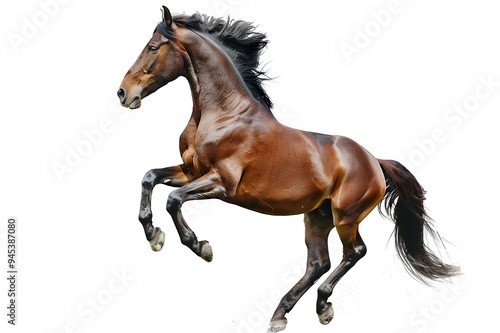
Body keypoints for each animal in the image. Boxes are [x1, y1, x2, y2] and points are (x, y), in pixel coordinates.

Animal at [116, 6, 458, 330]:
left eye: (152, 47)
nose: (123, 93)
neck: (223, 114)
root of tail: (375, 160)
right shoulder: (190, 172)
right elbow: (149, 178)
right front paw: (154, 234)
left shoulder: (221, 183)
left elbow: (173, 200)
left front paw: (200, 246)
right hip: (317, 217)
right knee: (318, 263)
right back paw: (281, 314)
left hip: (345, 217)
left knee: (353, 253)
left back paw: (322, 306)